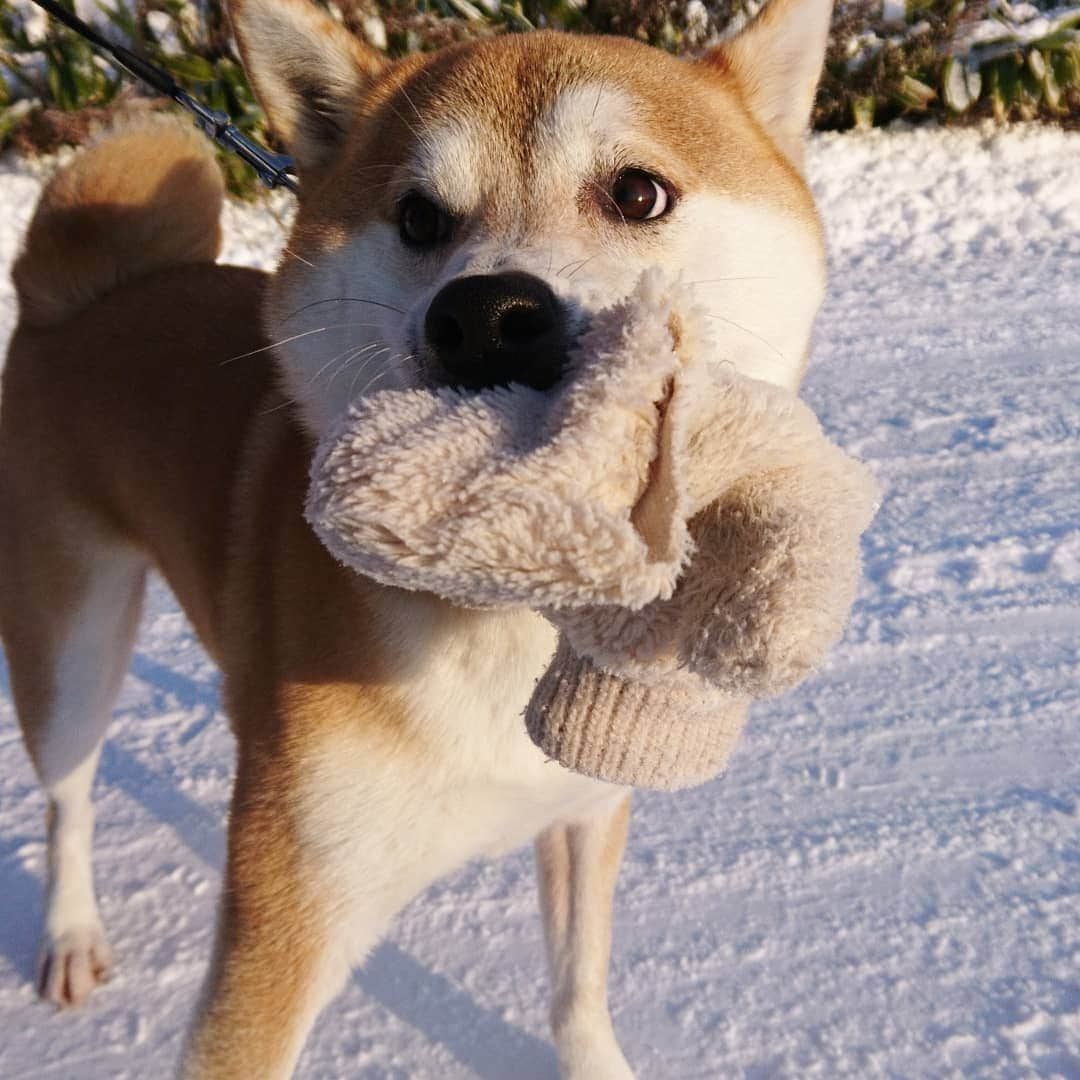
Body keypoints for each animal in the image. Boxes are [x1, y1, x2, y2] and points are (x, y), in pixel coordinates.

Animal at [0, 2, 833, 1071]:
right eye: (419, 218)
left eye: (637, 192)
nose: (487, 314)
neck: (503, 602)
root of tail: (76, 302)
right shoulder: (285, 913)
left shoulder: (581, 810)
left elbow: (578, 989)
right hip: (68, 648)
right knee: (68, 797)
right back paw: (70, 936)